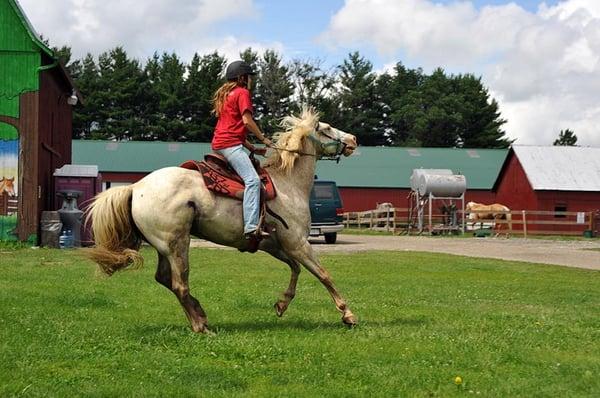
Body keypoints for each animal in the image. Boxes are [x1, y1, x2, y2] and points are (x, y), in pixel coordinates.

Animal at [86, 108, 358, 332]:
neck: (287, 185)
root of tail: (135, 187)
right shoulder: (298, 242)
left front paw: (281, 304)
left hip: (163, 246)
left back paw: (200, 315)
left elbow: (296, 268)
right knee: (179, 284)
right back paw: (200, 325)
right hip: (177, 244)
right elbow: (323, 274)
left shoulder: (275, 245)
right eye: (326, 128)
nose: (353, 140)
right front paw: (347, 314)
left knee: (164, 279)